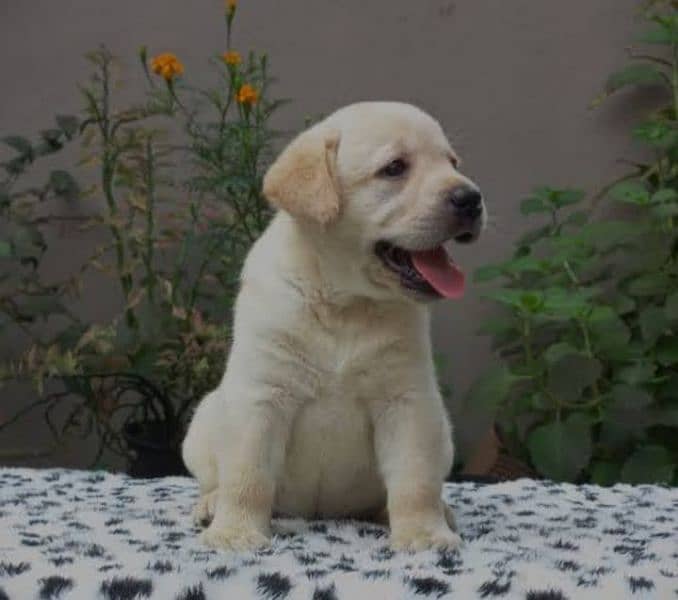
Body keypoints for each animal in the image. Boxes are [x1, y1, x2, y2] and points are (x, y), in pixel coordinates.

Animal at [183, 101, 486, 552]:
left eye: (452, 163)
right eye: (395, 168)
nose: (471, 198)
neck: (344, 303)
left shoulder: (407, 402)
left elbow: (415, 480)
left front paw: (424, 534)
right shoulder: (261, 396)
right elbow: (247, 475)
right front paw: (235, 532)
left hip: (440, 431)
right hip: (203, 422)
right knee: (214, 477)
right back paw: (210, 504)